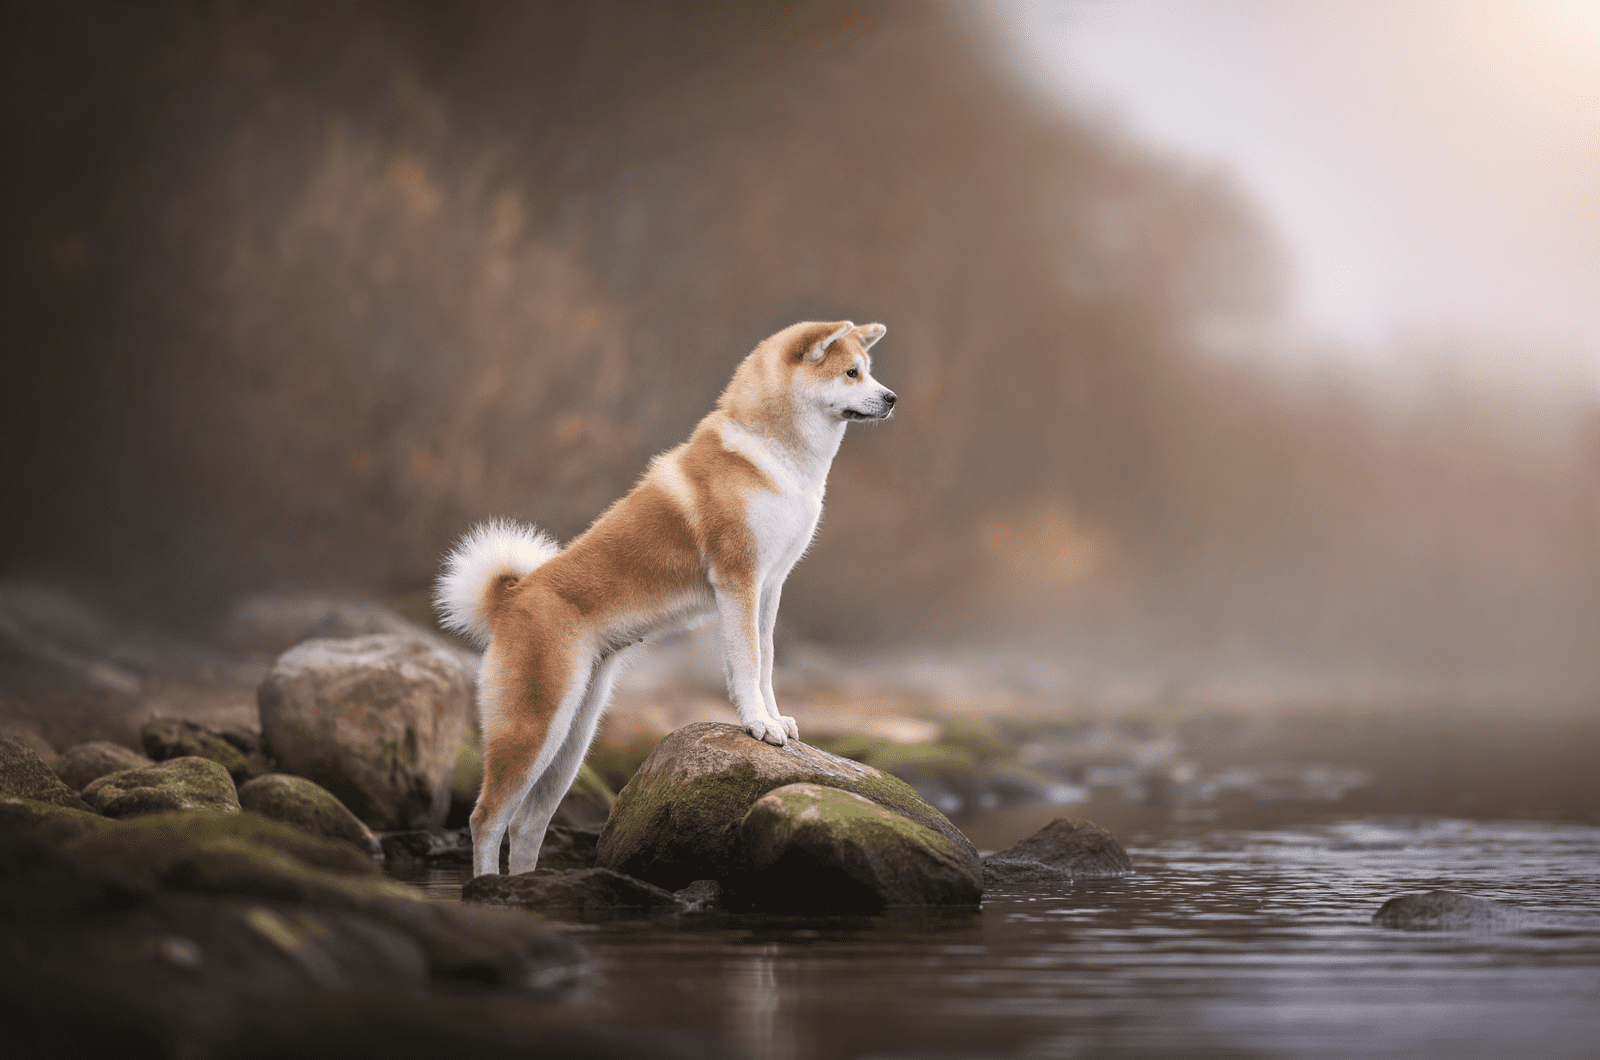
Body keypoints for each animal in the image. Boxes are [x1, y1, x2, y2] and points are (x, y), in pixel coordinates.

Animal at [432, 321, 896, 877]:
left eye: (867, 371)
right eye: (851, 373)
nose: (891, 398)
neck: (773, 457)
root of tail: (513, 597)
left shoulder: (770, 585)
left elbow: (766, 660)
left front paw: (774, 717)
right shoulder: (738, 580)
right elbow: (747, 662)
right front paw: (758, 724)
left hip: (573, 739)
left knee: (525, 826)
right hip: (533, 730)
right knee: (485, 820)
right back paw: (489, 887)